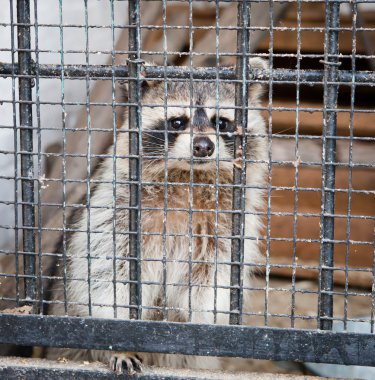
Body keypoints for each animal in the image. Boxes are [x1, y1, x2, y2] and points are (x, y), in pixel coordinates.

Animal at [47, 59, 268, 374]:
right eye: (177, 122)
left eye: (221, 123)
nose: (204, 146)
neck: (188, 179)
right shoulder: (116, 209)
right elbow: (107, 274)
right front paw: (120, 339)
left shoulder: (228, 227)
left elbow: (213, 279)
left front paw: (204, 321)